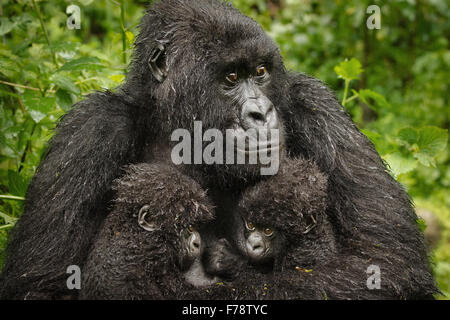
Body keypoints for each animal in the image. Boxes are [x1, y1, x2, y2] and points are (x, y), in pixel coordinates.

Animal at [0, 0, 436, 300]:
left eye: (260, 72)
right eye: (230, 78)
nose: (261, 113)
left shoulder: (313, 104)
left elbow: (384, 263)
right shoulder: (92, 129)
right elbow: (42, 283)